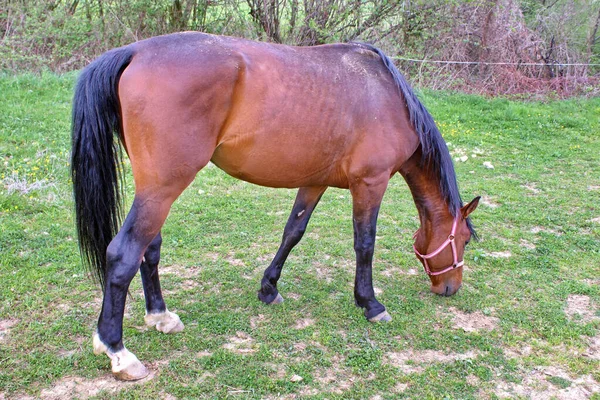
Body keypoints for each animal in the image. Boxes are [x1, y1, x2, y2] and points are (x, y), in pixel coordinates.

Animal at [72, 32, 480, 380]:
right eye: (464, 240)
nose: (451, 288)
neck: (388, 98)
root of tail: (134, 51)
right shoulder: (371, 183)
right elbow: (365, 244)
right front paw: (370, 304)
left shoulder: (314, 181)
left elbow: (293, 232)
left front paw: (268, 288)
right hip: (162, 189)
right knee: (123, 254)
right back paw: (117, 351)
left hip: (154, 191)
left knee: (149, 247)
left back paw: (160, 316)